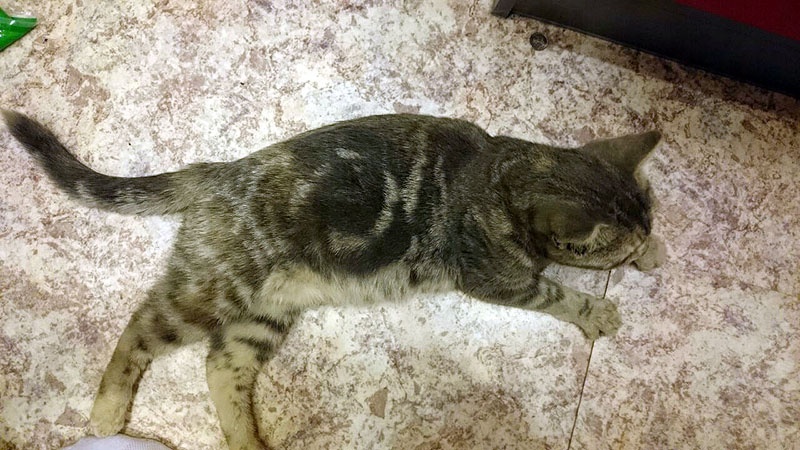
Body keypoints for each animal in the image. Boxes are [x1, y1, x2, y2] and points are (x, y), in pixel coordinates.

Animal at [3, 110, 664, 450]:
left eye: (649, 212)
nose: (646, 236)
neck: (507, 170)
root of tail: (217, 171)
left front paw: (653, 249)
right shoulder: (497, 278)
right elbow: (555, 291)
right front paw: (598, 304)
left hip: (262, 315)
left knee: (221, 369)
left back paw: (249, 442)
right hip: (213, 292)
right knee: (140, 328)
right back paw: (108, 410)